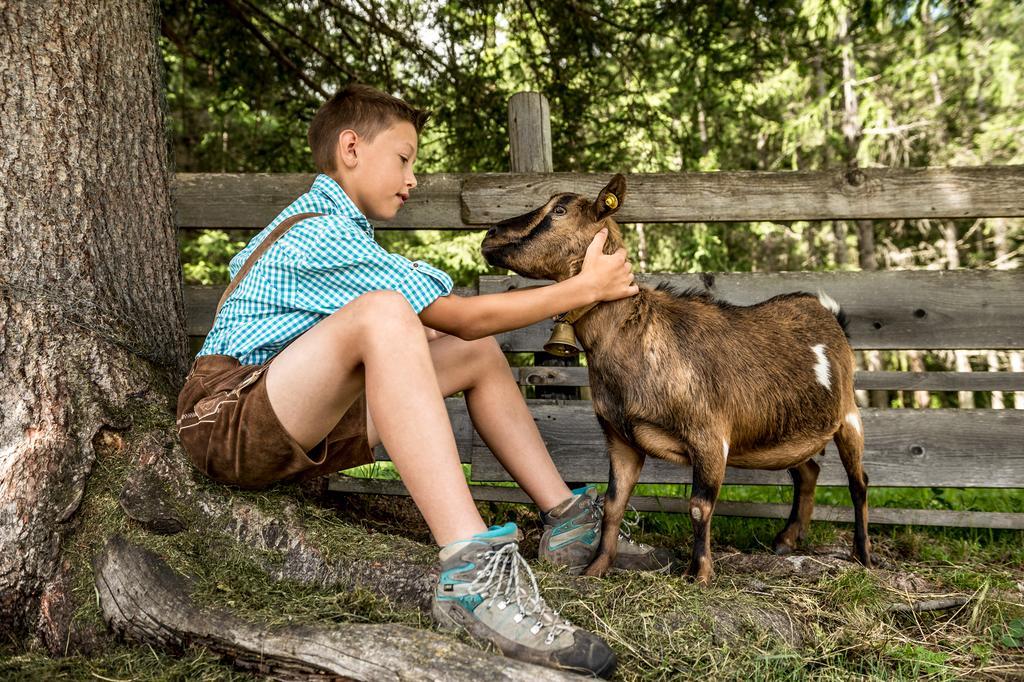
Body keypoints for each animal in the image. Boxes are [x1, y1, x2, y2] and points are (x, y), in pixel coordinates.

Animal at [481, 174, 872, 577]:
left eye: (559, 209)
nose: (490, 235)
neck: (635, 334)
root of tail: (828, 313)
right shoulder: (620, 438)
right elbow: (613, 505)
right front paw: (595, 569)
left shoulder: (710, 436)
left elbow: (699, 507)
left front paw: (699, 574)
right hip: (787, 430)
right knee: (808, 471)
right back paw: (787, 540)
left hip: (848, 416)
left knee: (859, 482)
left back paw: (863, 555)